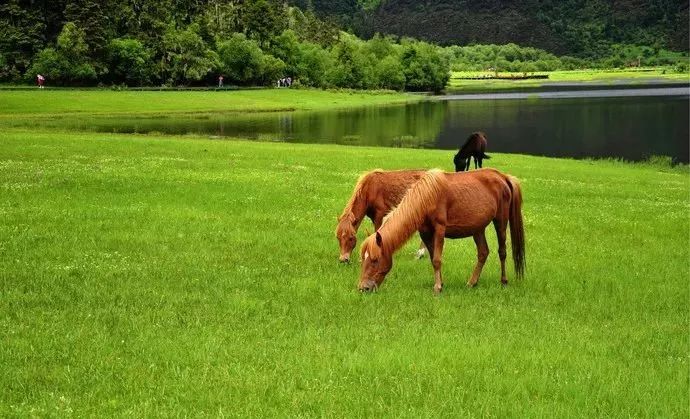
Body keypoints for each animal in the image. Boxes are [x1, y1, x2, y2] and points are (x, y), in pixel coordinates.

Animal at [358, 169, 524, 294]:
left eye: (374, 260)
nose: (363, 288)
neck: (427, 197)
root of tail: (503, 177)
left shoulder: (440, 229)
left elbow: (437, 259)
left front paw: (437, 287)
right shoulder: (425, 232)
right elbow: (433, 258)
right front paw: (441, 283)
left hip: (500, 221)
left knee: (502, 252)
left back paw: (503, 281)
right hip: (478, 229)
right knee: (483, 253)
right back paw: (472, 282)